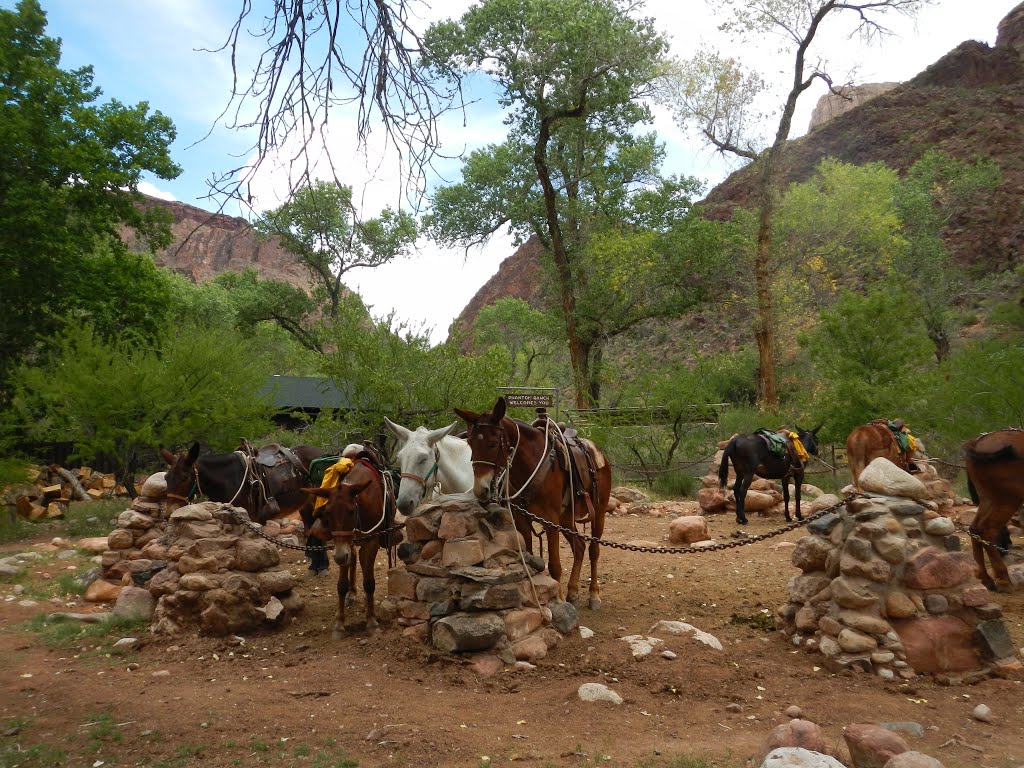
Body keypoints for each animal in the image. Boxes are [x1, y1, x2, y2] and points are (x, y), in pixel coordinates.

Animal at [159, 444, 329, 573]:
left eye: (184, 478)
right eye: (166, 478)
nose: (169, 513)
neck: (228, 479)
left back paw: (321, 565)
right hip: (305, 503)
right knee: (309, 525)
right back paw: (313, 560)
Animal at [301, 456, 397, 638]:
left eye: (352, 511)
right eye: (327, 513)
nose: (339, 557)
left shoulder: (371, 542)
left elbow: (369, 582)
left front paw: (371, 621)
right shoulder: (341, 546)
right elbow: (341, 584)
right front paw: (339, 624)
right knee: (352, 558)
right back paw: (351, 594)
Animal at [454, 399, 610, 610]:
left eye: (493, 444)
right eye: (470, 443)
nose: (481, 489)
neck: (532, 464)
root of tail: (598, 452)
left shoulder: (551, 522)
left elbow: (554, 566)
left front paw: (559, 601)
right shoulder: (522, 520)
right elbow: (528, 557)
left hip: (598, 513)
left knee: (594, 550)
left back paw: (594, 595)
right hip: (566, 519)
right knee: (579, 547)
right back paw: (573, 591)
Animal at [962, 430, 1019, 593]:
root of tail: (976, 442)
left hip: (988, 498)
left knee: (975, 528)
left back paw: (985, 578)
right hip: (1009, 499)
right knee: (987, 530)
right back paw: (1003, 580)